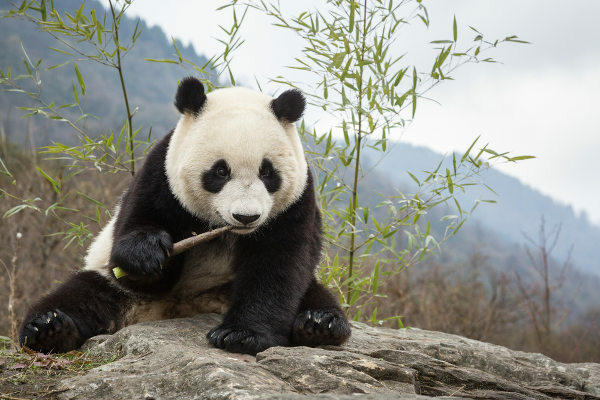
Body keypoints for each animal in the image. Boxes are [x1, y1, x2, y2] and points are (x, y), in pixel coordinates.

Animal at [17, 77, 352, 356]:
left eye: (267, 172)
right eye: (220, 171)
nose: (246, 217)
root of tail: (179, 309)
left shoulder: (296, 202)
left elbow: (277, 266)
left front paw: (240, 335)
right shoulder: (160, 175)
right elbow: (136, 237)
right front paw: (147, 255)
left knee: (312, 295)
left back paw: (319, 325)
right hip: (113, 288)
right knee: (82, 295)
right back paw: (49, 329)